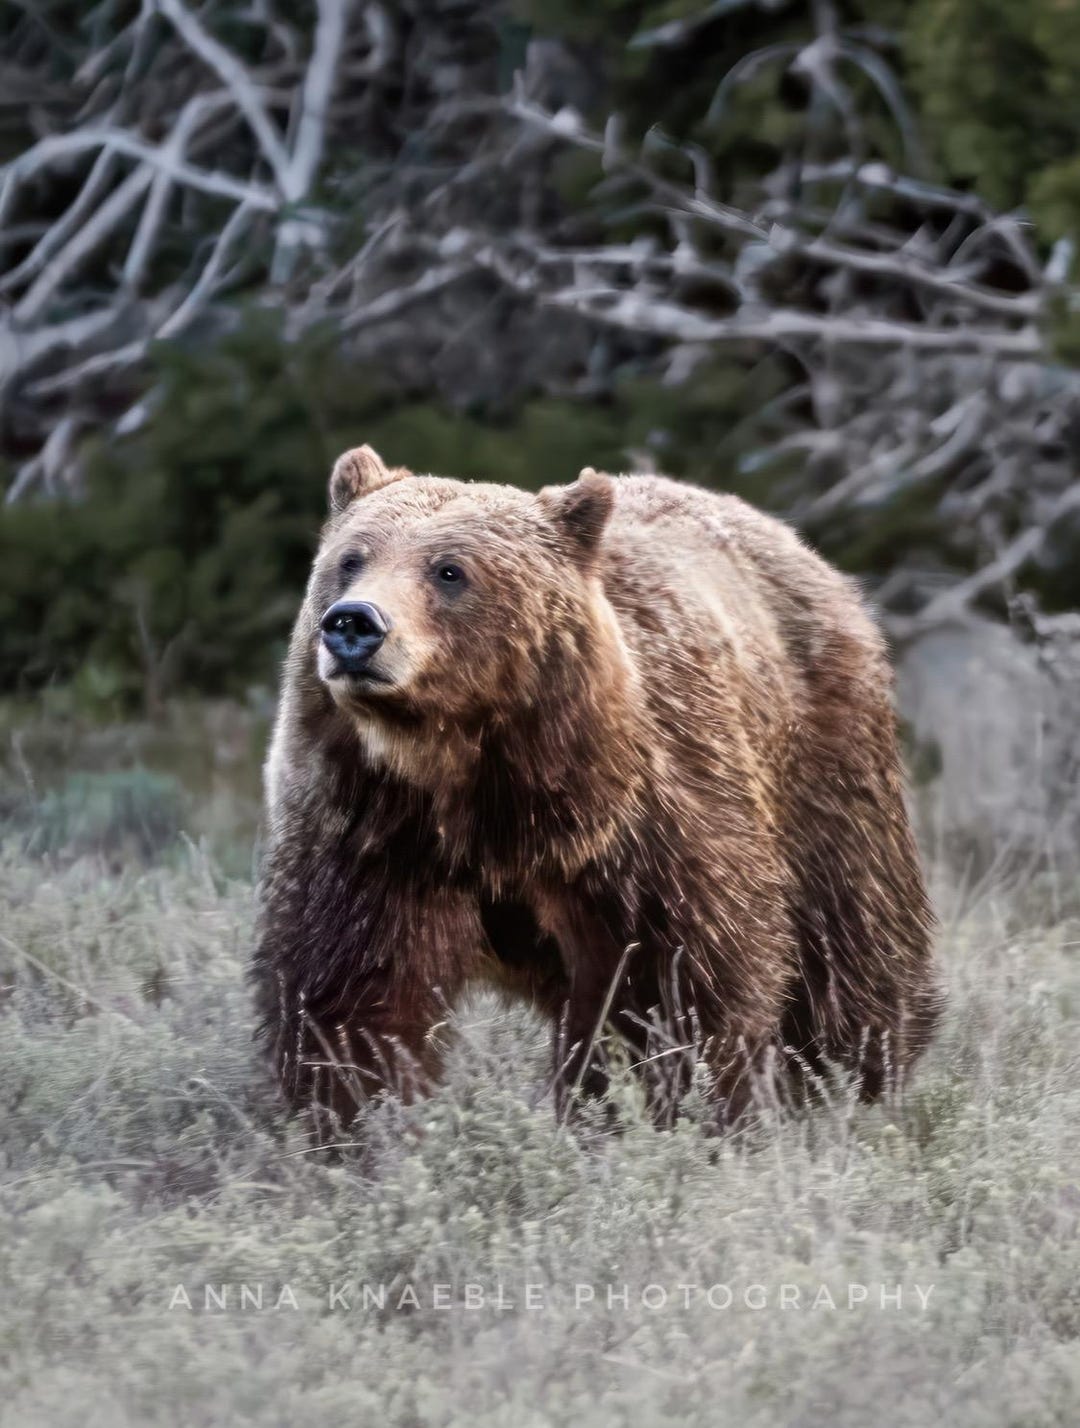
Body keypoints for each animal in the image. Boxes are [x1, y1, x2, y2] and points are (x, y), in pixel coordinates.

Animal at [253, 444, 939, 1136]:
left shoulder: (648, 828)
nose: (354, 624)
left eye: (449, 571)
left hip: (822, 760)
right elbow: (355, 990)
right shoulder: (372, 831)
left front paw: (671, 1109)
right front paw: (356, 1118)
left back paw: (859, 1072)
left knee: (851, 933)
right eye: (351, 559)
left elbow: (667, 985)